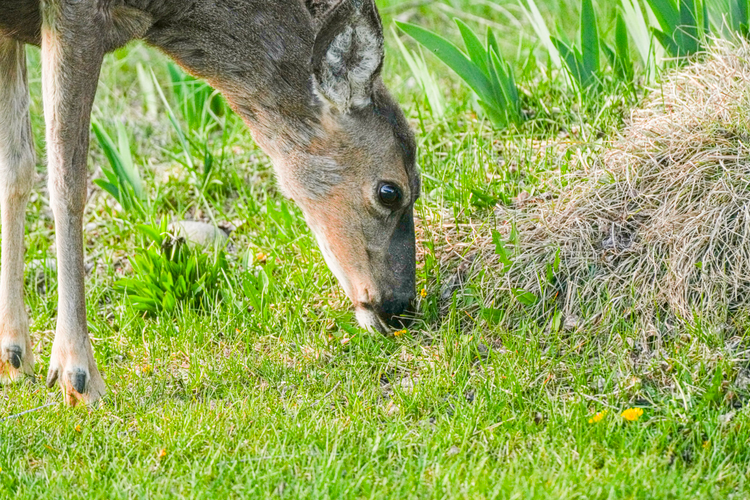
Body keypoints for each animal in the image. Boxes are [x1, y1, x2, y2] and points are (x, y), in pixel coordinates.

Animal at [0, 0, 420, 406]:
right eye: (390, 191)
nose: (400, 307)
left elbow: (16, 167)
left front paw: (14, 356)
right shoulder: (74, 12)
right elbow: (67, 182)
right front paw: (77, 374)